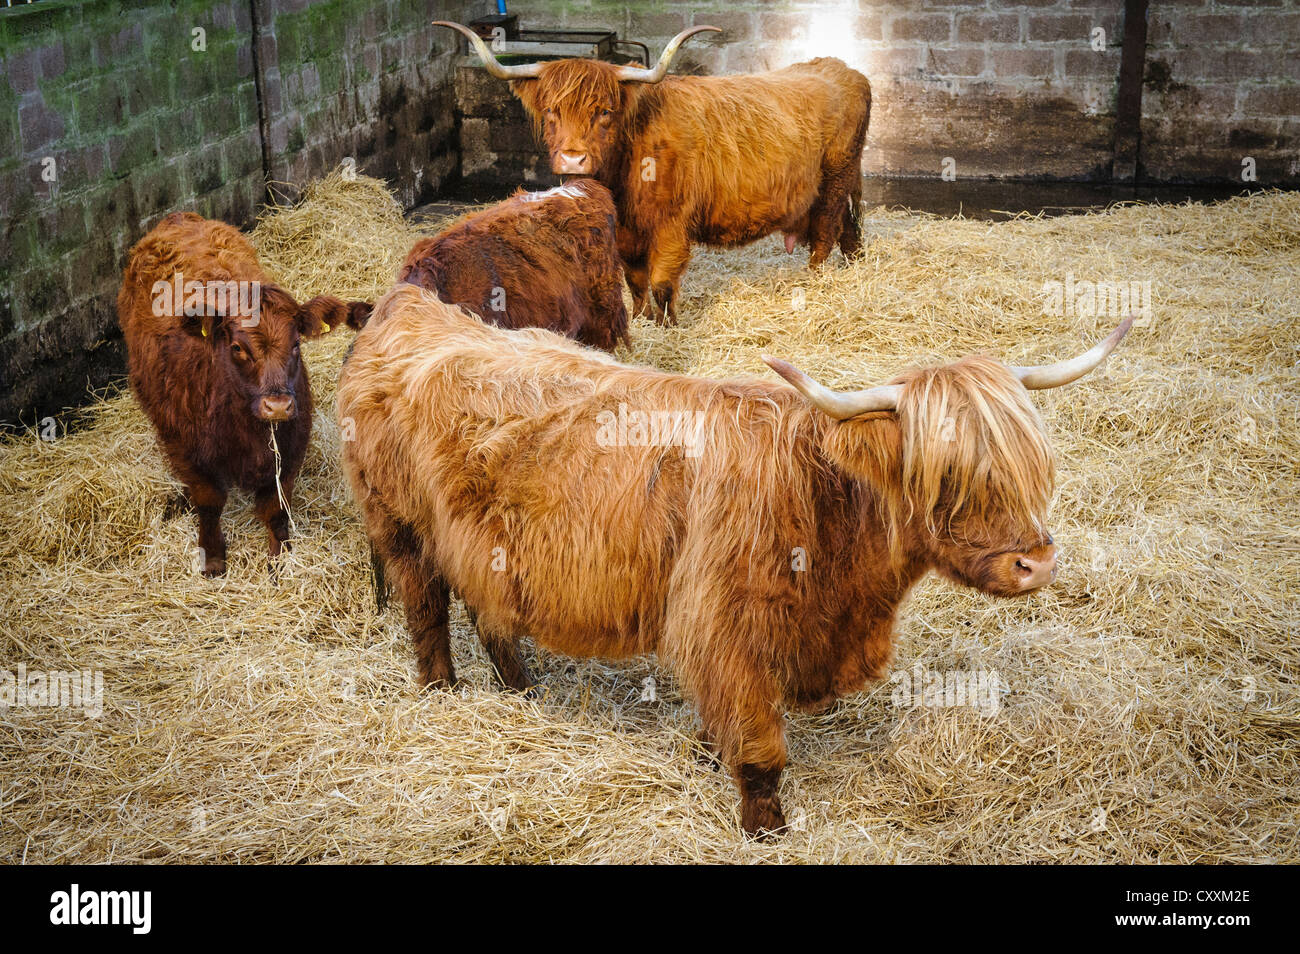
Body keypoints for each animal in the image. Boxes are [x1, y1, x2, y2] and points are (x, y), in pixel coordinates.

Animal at [120, 213, 371, 579]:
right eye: (238, 347)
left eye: (296, 343)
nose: (277, 406)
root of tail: (179, 218)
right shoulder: (188, 451)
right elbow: (209, 504)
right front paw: (212, 557)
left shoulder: (289, 450)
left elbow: (277, 508)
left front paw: (280, 559)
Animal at [431, 18, 868, 323]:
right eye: (552, 111)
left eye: (605, 112)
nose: (573, 159)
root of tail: (844, 69)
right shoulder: (627, 235)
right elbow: (636, 285)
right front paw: (645, 322)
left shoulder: (672, 227)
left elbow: (661, 284)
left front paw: (669, 326)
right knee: (849, 228)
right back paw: (853, 267)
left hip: (834, 179)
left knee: (825, 234)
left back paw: (814, 285)